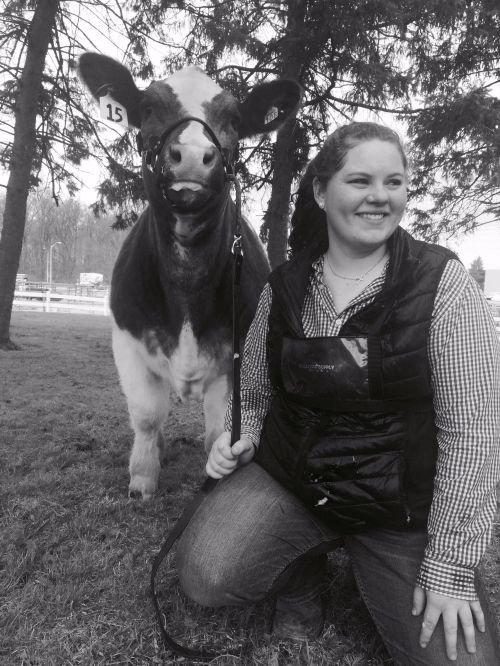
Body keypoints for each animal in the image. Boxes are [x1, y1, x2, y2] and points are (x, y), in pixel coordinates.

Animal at [78, 52, 300, 496]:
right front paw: (142, 479)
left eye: (233, 118)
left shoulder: (237, 356)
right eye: (148, 108)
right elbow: (147, 415)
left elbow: (220, 431)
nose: (195, 155)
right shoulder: (127, 340)